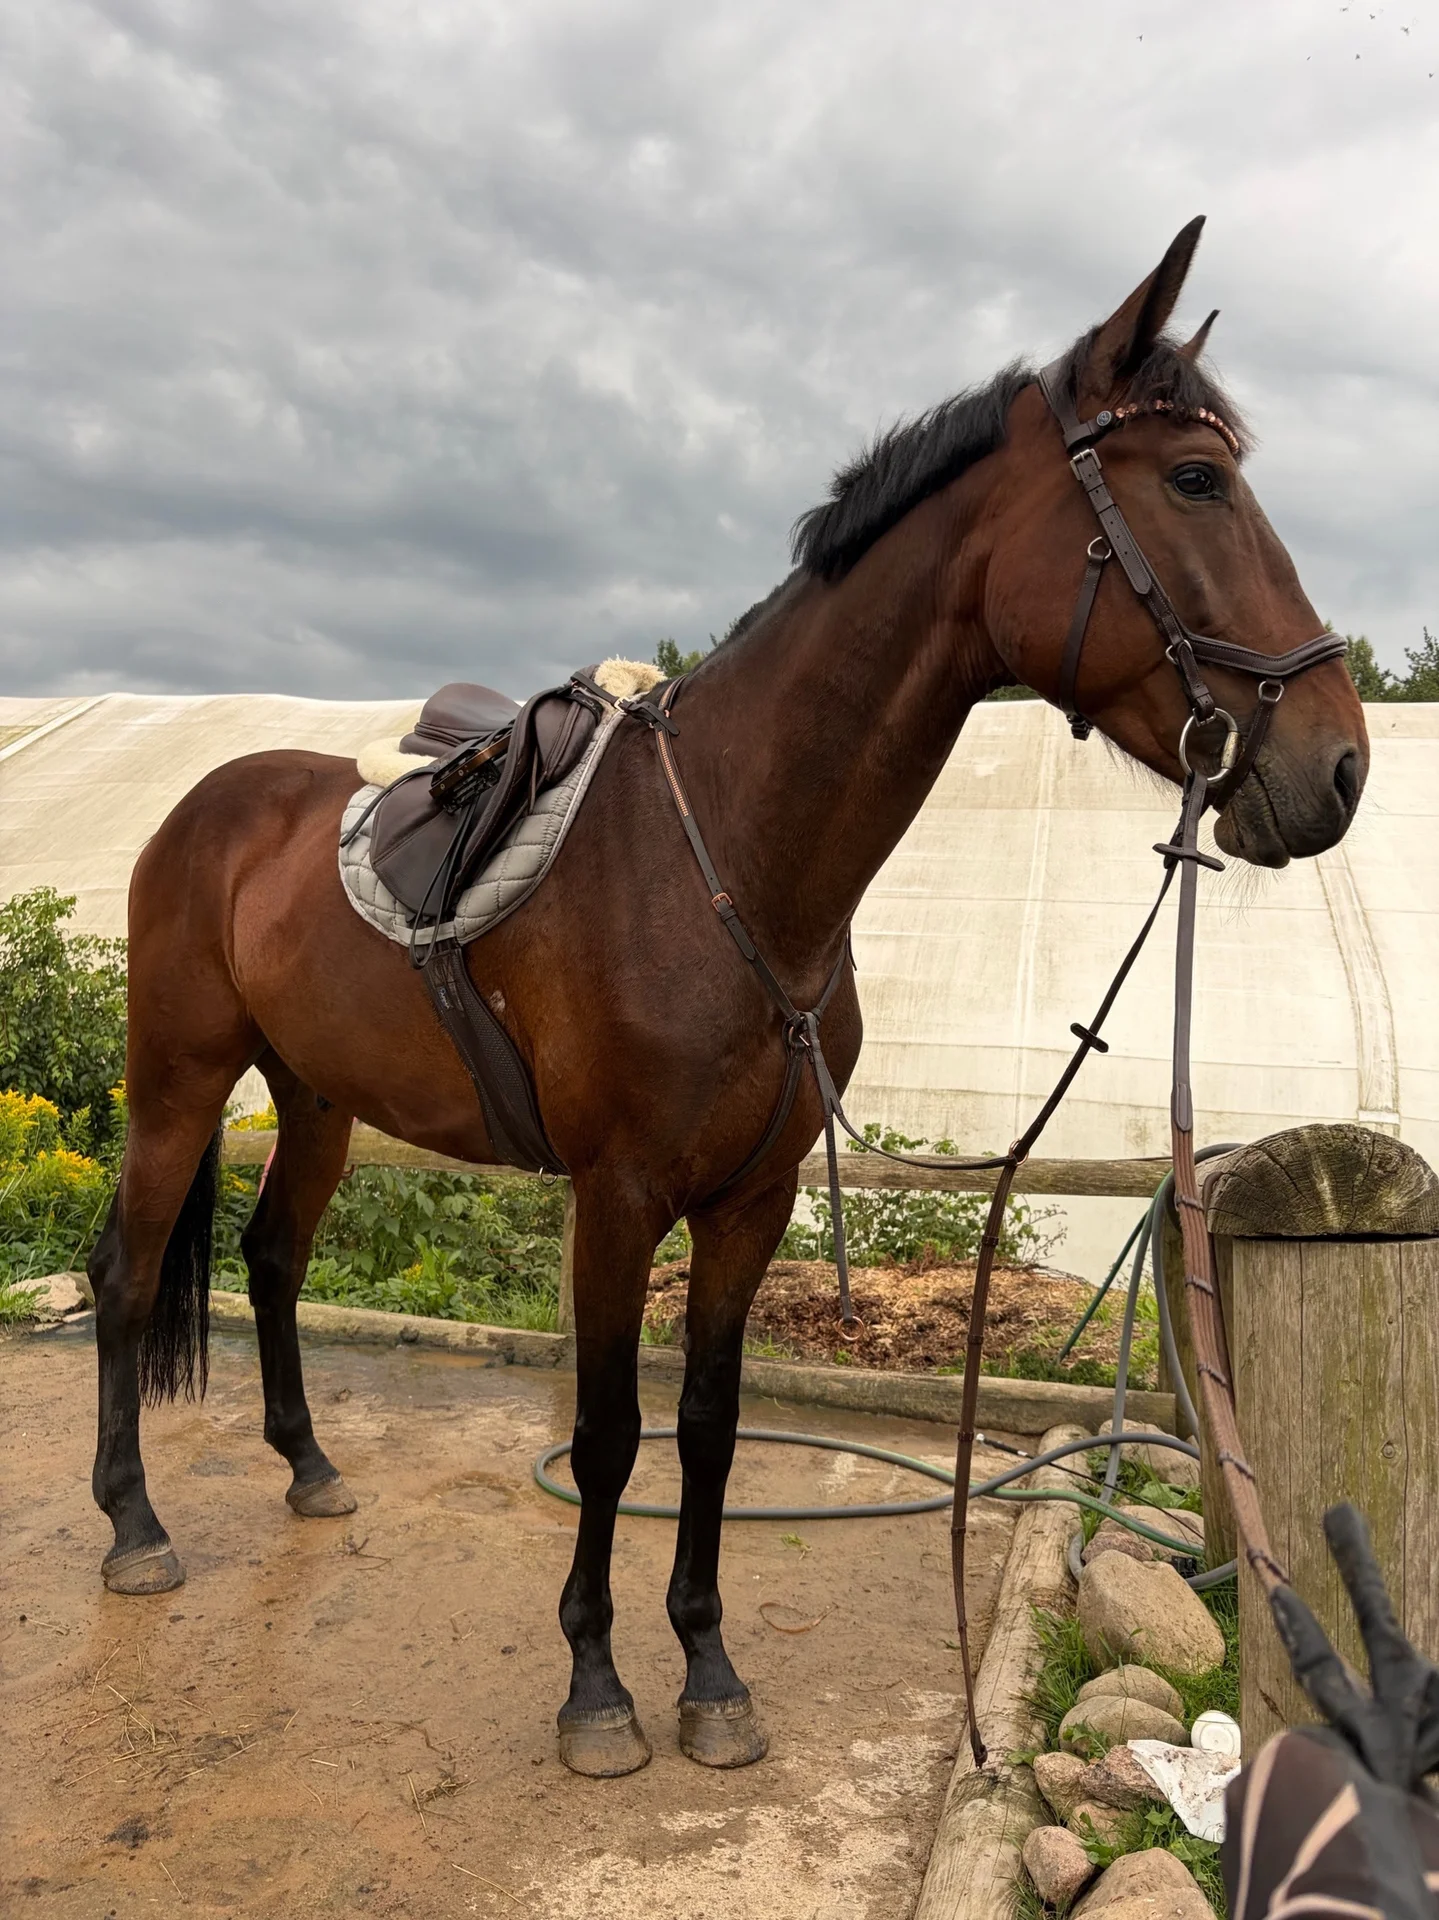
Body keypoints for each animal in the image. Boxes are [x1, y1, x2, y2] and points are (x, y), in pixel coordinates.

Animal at [88, 217, 1367, 1779]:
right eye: (1192, 479)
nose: (1337, 767)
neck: (733, 865)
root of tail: (207, 805)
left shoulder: (747, 1201)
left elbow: (705, 1423)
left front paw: (705, 1670)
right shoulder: (617, 1195)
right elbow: (605, 1434)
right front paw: (594, 1688)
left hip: (318, 1095)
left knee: (270, 1261)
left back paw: (311, 1468)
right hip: (176, 1082)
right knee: (127, 1273)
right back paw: (134, 1527)